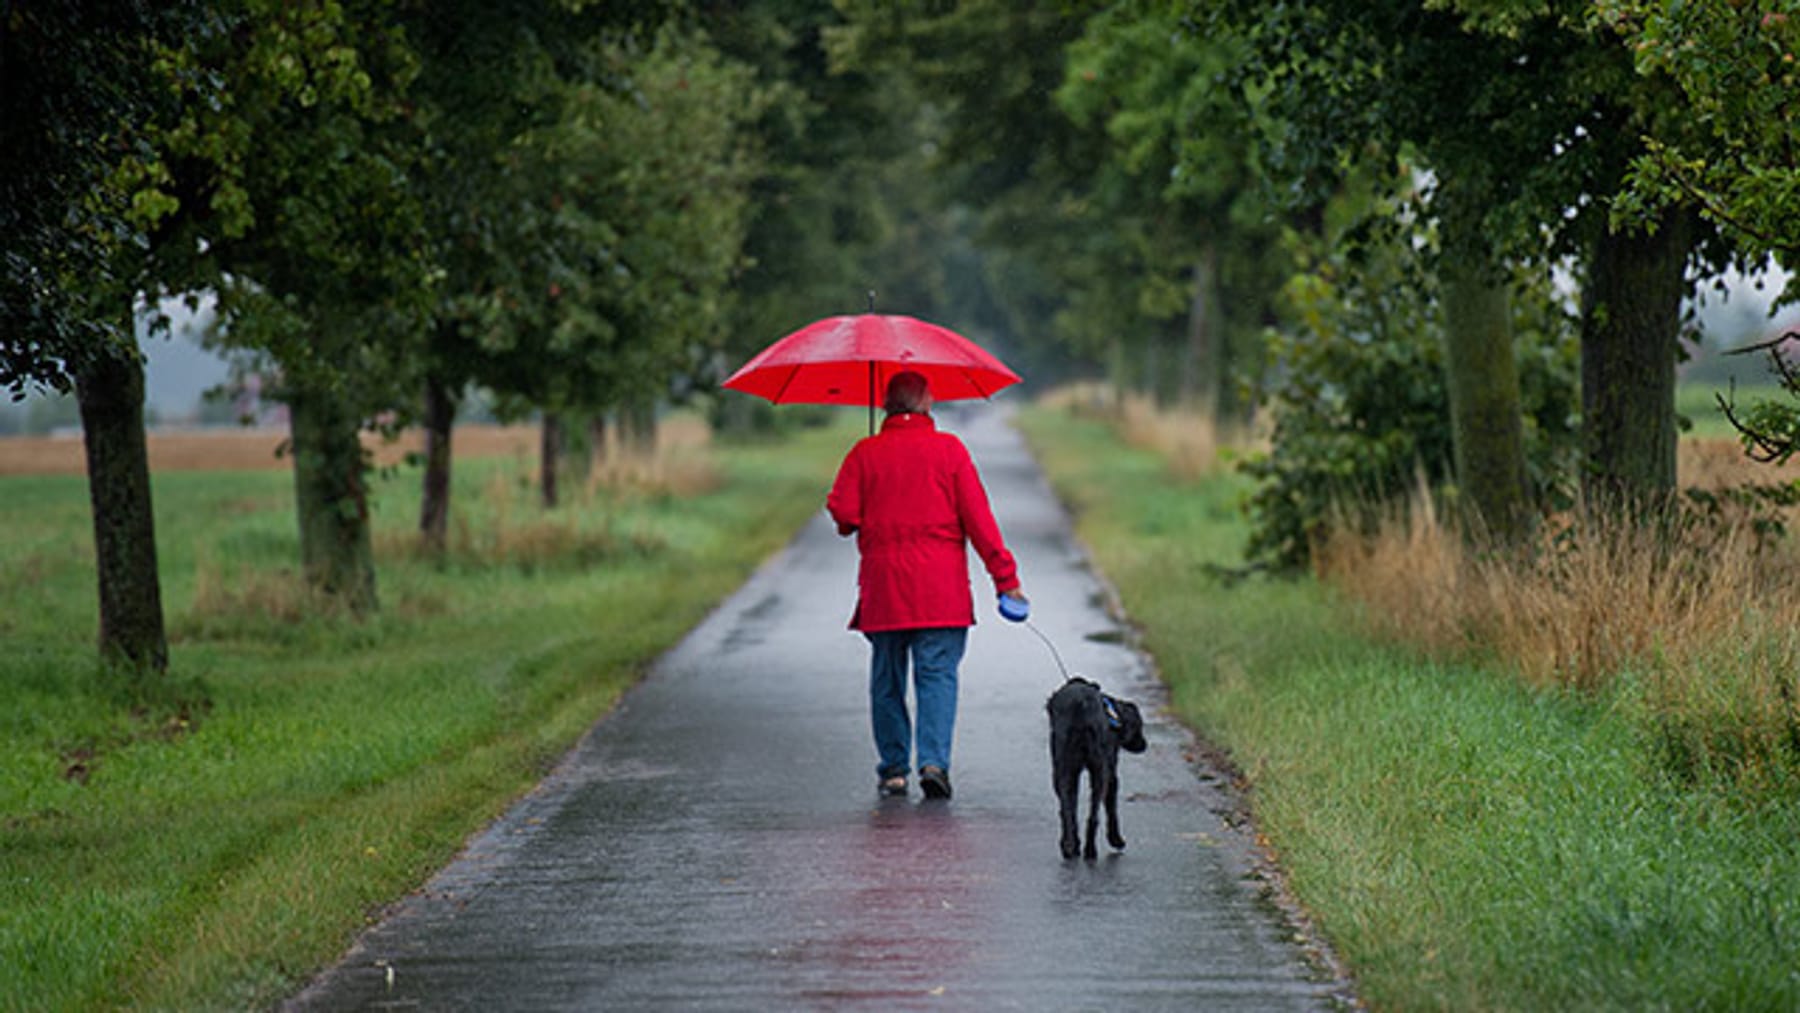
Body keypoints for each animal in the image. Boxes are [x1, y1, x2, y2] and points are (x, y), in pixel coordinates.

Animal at [1051, 676, 1144, 860]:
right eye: (1140, 726)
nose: (1144, 745)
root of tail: (1081, 704)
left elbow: (1071, 807)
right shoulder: (1112, 775)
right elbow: (1112, 810)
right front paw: (1116, 839)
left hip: (1064, 769)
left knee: (1067, 810)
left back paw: (1070, 846)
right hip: (1100, 771)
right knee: (1093, 815)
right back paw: (1089, 849)